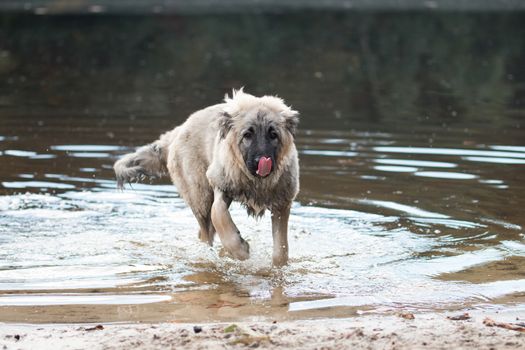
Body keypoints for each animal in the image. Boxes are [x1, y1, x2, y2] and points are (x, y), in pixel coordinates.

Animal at [112, 89, 296, 266]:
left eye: (273, 135)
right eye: (247, 135)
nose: (262, 161)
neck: (256, 182)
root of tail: (179, 130)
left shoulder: (282, 204)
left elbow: (281, 248)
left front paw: (278, 266)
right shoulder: (219, 184)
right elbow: (218, 214)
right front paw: (240, 250)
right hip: (200, 197)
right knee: (206, 231)